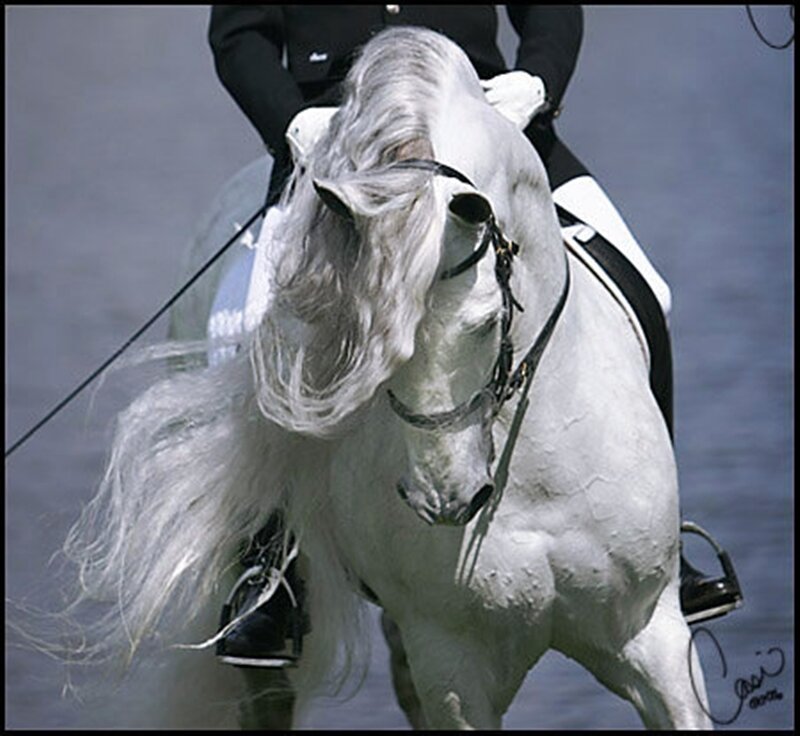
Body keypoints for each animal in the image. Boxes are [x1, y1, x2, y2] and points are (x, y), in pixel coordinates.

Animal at [62, 27, 712, 729]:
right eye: (372, 342)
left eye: (486, 323)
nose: (445, 501)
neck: (532, 460)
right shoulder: (454, 665)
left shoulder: (653, 638)